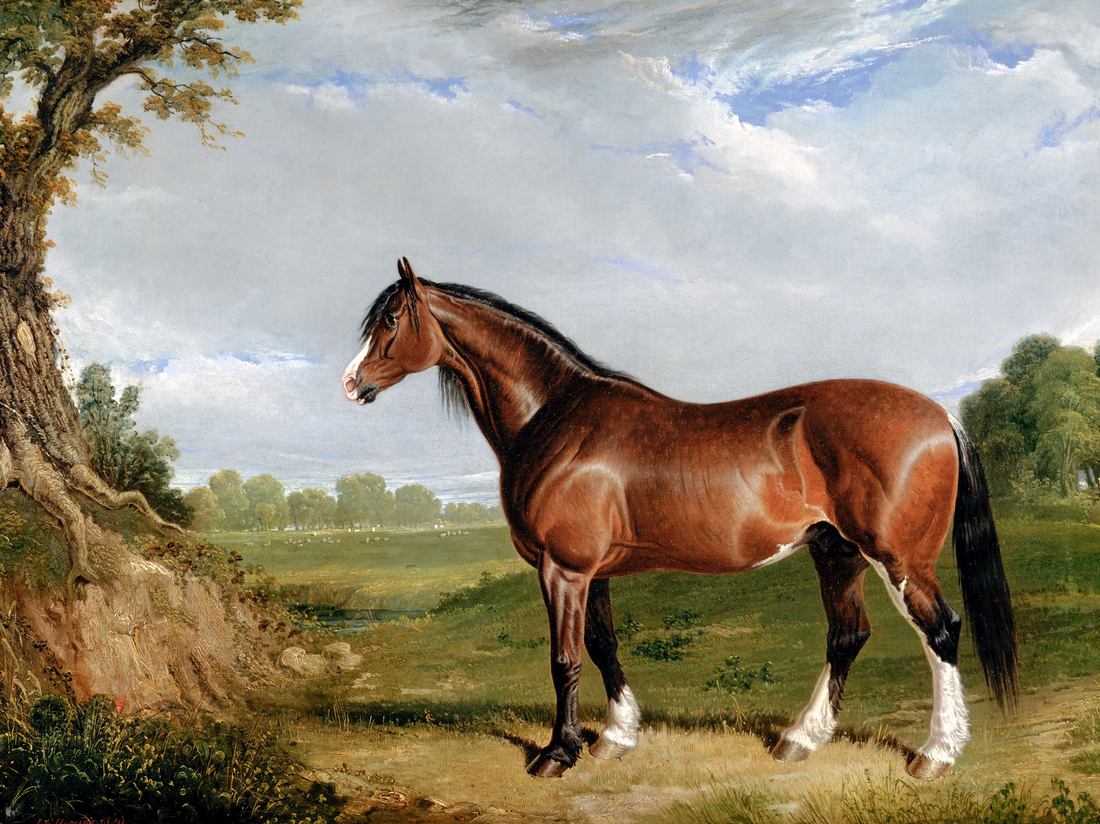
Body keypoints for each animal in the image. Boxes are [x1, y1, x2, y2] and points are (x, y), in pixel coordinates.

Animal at [341, 258, 1017, 781]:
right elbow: (602, 646)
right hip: (837, 552)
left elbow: (564, 660)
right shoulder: (591, 573)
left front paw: (558, 754)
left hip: (899, 559)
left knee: (941, 631)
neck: (556, 418)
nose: (350, 384)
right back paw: (799, 740)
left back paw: (935, 755)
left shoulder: (563, 570)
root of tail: (940, 416)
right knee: (847, 636)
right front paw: (615, 738)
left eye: (391, 320)